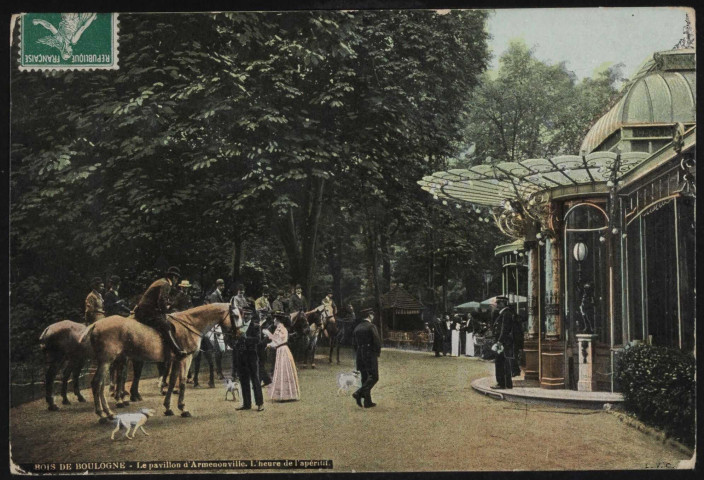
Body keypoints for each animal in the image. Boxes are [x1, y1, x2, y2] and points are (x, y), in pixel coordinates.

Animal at [84, 302, 239, 422]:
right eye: (236, 316)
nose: (237, 336)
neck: (190, 324)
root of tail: (96, 325)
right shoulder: (185, 359)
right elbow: (182, 382)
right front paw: (183, 408)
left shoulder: (175, 360)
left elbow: (171, 382)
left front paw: (168, 407)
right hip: (108, 361)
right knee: (97, 383)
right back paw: (103, 414)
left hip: (108, 361)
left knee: (102, 384)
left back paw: (109, 412)